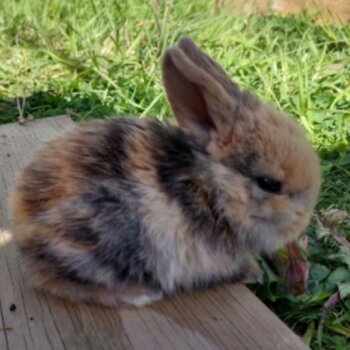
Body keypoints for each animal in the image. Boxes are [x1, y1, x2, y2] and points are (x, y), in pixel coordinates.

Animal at [9, 37, 322, 308]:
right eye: (269, 183)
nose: (302, 222)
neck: (209, 190)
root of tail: (23, 225)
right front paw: (252, 273)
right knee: (55, 281)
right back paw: (139, 295)